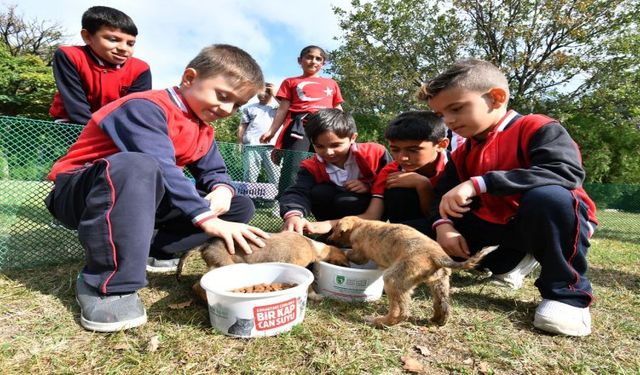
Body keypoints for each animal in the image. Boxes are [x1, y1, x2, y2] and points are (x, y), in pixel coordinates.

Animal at [176, 232, 350, 302]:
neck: (312, 247)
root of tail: (207, 243)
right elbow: (309, 286)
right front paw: (315, 296)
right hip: (224, 266)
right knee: (197, 286)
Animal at [328, 216, 498, 328]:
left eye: (335, 229)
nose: (328, 239)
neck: (361, 223)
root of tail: (437, 256)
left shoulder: (360, 254)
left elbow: (352, 255)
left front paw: (340, 253)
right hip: (439, 283)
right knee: (443, 305)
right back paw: (437, 320)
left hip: (392, 280)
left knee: (401, 311)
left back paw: (380, 321)